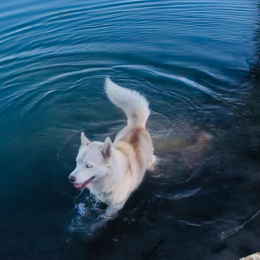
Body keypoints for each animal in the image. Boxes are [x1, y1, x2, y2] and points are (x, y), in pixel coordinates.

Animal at [68, 76, 155, 215]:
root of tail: (137, 126)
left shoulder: (115, 207)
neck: (110, 179)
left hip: (150, 159)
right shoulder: (98, 198)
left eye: (89, 166)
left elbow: (104, 218)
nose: (71, 178)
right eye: (77, 162)